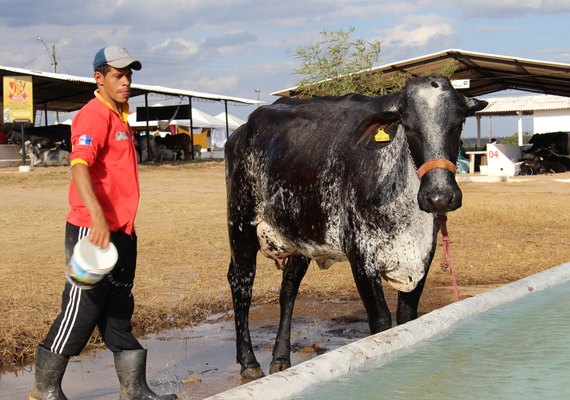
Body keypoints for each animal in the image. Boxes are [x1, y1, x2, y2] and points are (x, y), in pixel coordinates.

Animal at [222, 75, 484, 378]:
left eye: (458, 123)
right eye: (408, 126)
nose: (439, 196)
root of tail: (241, 131)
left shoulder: (421, 259)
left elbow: (407, 319)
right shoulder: (361, 258)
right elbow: (381, 323)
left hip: (302, 235)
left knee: (288, 288)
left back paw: (280, 358)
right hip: (240, 223)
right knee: (241, 283)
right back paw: (249, 363)